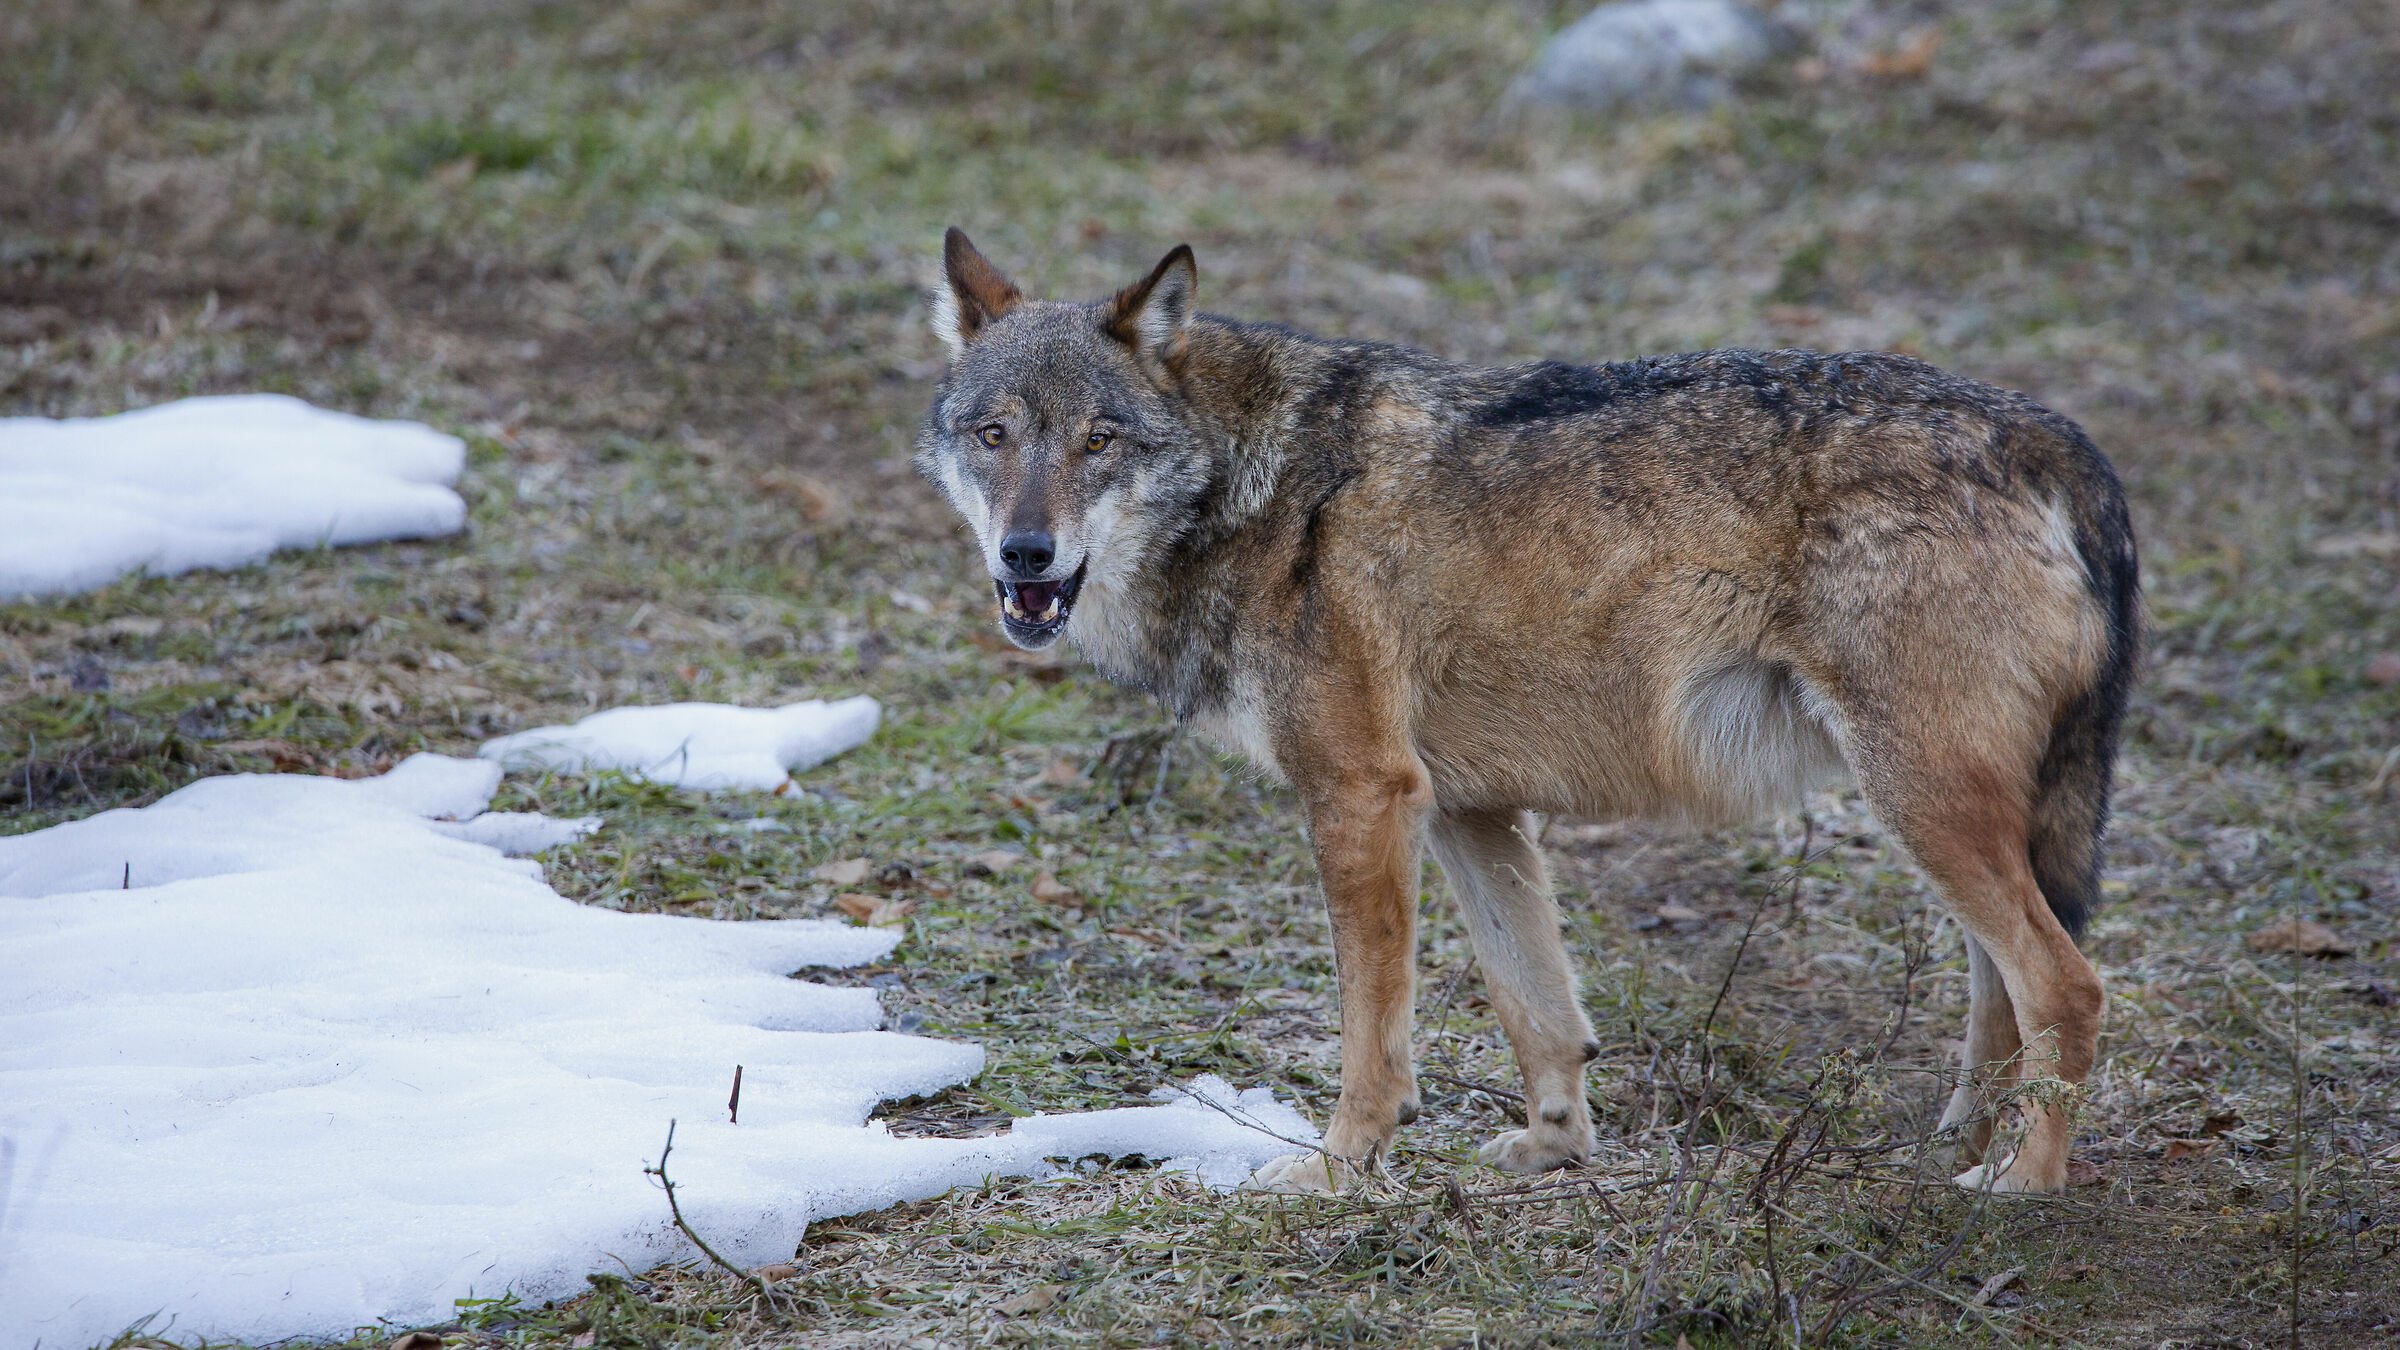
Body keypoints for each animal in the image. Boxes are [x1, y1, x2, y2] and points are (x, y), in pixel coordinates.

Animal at [914, 228, 2138, 1195]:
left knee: (2067, 989)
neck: (1255, 489)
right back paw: (1956, 1150)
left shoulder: (1366, 795)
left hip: (1921, 803)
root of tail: (2055, 437)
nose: (1026, 554)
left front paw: (1335, 1169)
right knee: (2004, 994)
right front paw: (1555, 1152)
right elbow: (1538, 1011)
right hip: (1946, 819)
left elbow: (1373, 1034)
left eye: (1099, 440)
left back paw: (2021, 1184)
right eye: (994, 435)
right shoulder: (1468, 812)